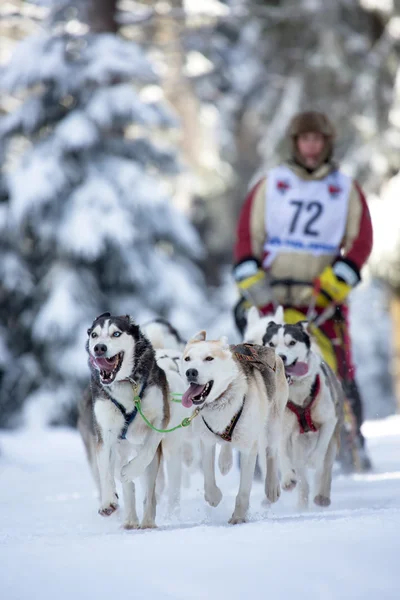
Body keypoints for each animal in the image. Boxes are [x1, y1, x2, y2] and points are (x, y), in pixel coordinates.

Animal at [80, 312, 177, 528]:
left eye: (116, 333)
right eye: (94, 335)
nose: (99, 348)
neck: (126, 383)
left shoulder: (160, 419)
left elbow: (147, 451)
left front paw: (131, 470)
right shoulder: (105, 434)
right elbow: (105, 470)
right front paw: (107, 502)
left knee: (149, 488)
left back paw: (147, 521)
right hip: (116, 449)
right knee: (124, 484)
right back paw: (130, 519)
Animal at [180, 330, 288, 524]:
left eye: (209, 358)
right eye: (187, 359)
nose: (190, 372)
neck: (222, 399)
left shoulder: (248, 449)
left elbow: (244, 491)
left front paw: (238, 517)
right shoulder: (206, 441)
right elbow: (208, 478)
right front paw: (214, 496)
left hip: (273, 421)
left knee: (271, 452)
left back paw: (271, 487)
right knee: (226, 445)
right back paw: (225, 461)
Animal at [262, 322, 340, 508]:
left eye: (292, 342)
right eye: (271, 344)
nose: (281, 357)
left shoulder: (329, 421)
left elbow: (320, 450)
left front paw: (314, 460)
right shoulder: (281, 429)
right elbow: (282, 455)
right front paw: (288, 479)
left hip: (332, 441)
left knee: (325, 467)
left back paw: (322, 496)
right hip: (297, 445)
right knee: (302, 478)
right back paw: (301, 503)